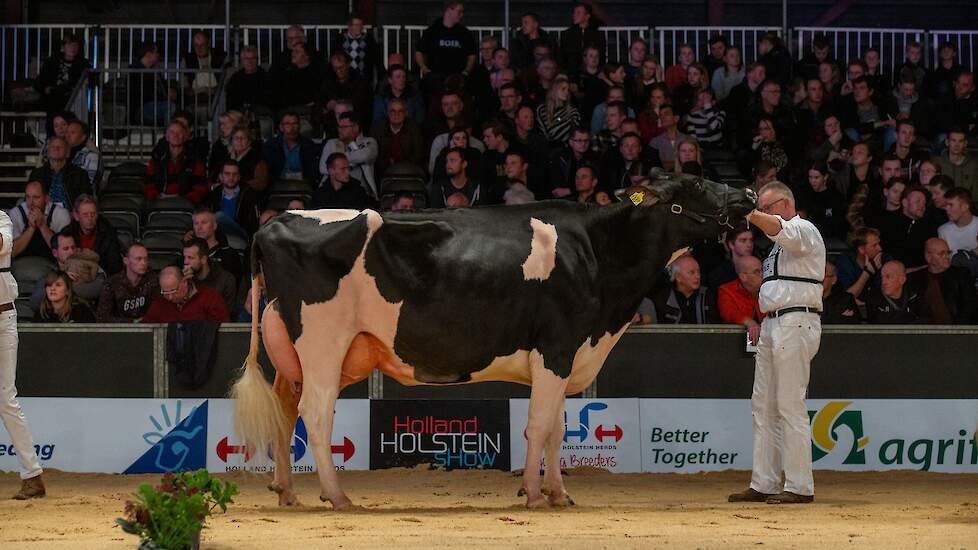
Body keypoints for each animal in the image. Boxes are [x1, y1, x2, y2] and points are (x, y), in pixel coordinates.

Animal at [231, 172, 756, 508]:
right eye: (693, 184)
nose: (749, 192)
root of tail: (276, 221)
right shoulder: (557, 348)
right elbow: (539, 426)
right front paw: (533, 493)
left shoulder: (565, 358)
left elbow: (558, 429)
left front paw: (559, 493)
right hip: (323, 342)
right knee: (316, 413)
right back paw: (338, 496)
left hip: (293, 350)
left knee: (285, 408)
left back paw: (287, 491)